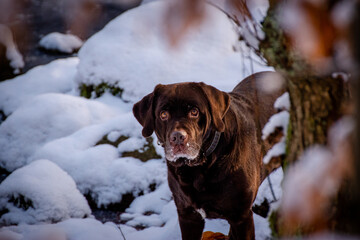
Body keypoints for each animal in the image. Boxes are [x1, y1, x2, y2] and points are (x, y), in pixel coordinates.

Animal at [132, 71, 284, 240]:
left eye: (194, 112)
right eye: (163, 114)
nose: (178, 137)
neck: (200, 168)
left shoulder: (241, 217)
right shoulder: (188, 216)